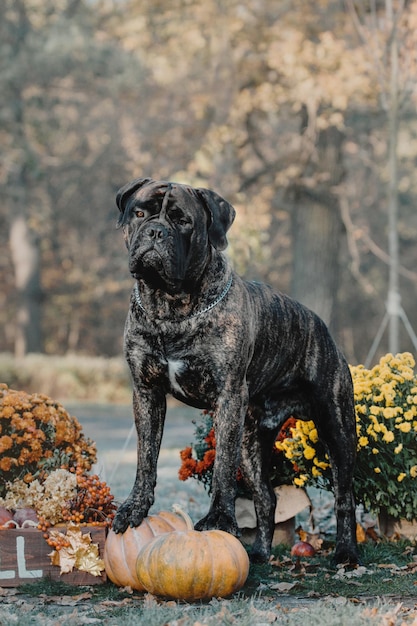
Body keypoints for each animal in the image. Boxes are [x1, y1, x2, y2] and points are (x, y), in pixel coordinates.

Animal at [110, 173, 358, 564]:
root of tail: (322, 327)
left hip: (337, 426)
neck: (171, 308)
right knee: (266, 497)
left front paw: (218, 521)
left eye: (182, 220)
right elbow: (145, 458)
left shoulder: (227, 398)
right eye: (139, 212)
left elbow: (222, 468)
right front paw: (134, 508)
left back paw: (347, 553)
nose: (155, 232)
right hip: (252, 440)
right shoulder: (147, 393)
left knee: (345, 494)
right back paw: (259, 553)